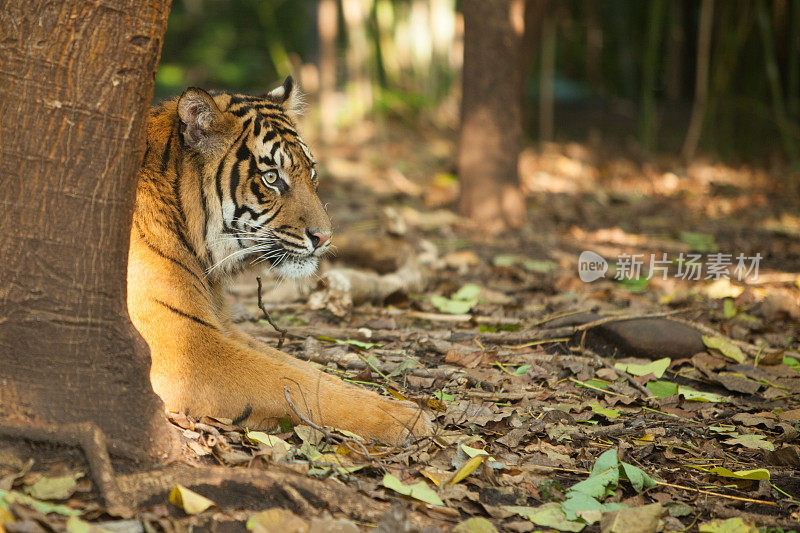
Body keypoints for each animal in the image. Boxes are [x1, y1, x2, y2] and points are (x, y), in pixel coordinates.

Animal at [128, 77, 432, 442]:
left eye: (312, 174)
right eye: (271, 178)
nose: (325, 237)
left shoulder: (221, 327)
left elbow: (307, 370)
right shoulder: (185, 347)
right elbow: (299, 383)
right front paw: (409, 417)